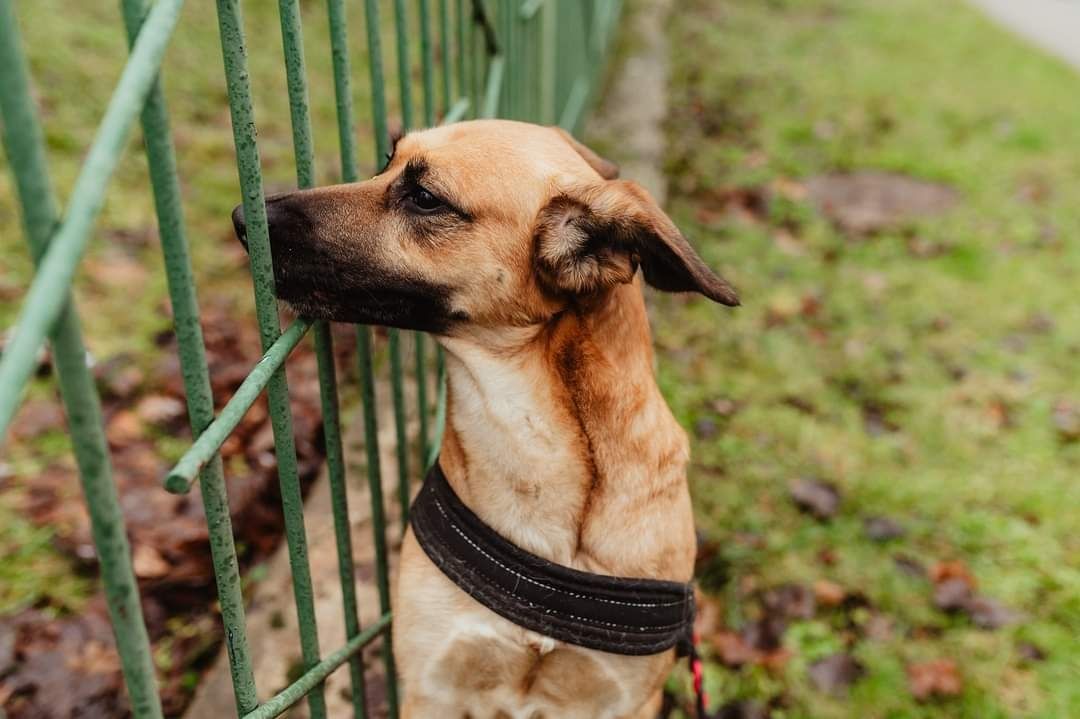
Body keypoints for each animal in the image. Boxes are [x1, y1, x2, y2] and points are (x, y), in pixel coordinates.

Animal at [232, 120, 738, 712]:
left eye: (426, 198)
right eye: (387, 161)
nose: (241, 219)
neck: (531, 444)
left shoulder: (622, 702)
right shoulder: (433, 685)